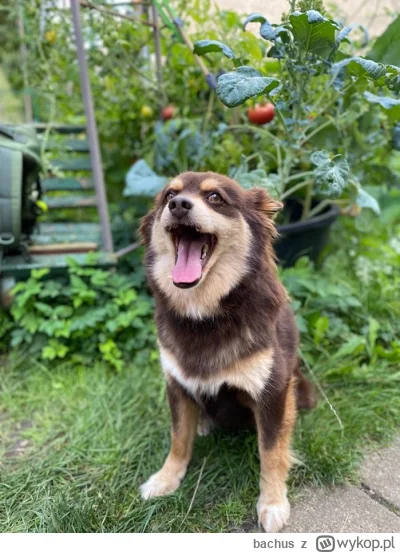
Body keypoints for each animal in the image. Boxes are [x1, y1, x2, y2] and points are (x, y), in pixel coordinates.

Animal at [139, 171, 314, 532]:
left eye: (215, 197)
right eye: (168, 196)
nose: (179, 205)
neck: (203, 316)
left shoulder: (272, 391)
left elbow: (271, 451)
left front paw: (272, 503)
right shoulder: (175, 384)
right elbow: (178, 438)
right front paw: (165, 479)